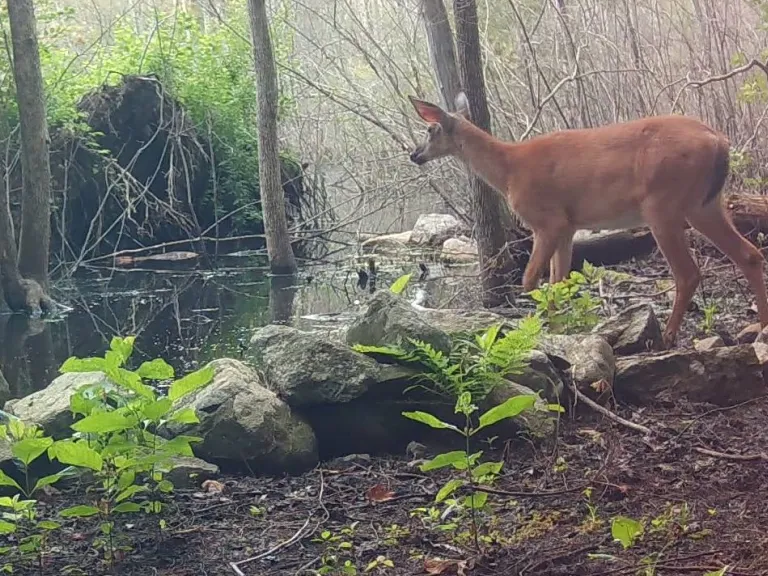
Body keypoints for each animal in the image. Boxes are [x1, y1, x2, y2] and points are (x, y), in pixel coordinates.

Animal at [407, 92, 768, 349]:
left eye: (429, 129)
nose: (414, 155)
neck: (509, 170)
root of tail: (719, 140)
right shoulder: (568, 226)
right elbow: (558, 281)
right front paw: (560, 331)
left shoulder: (547, 221)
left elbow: (530, 280)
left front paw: (539, 329)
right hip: (704, 204)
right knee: (749, 254)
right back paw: (761, 327)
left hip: (662, 203)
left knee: (688, 272)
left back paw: (667, 337)